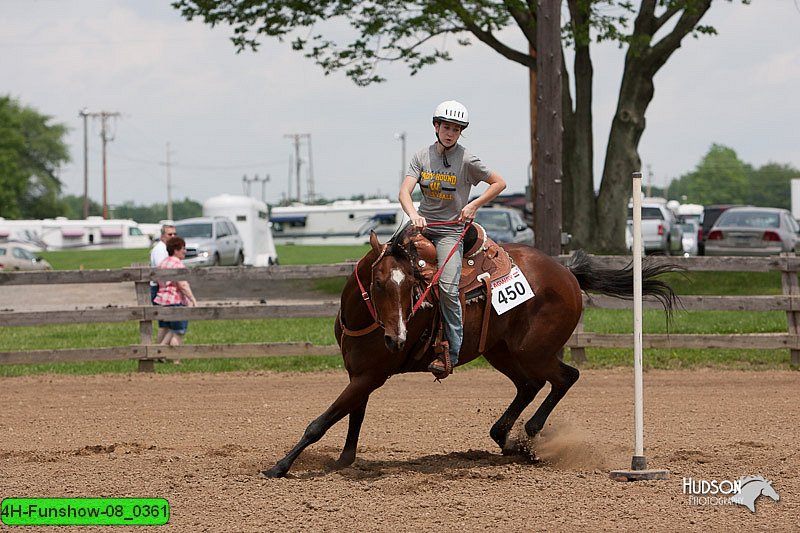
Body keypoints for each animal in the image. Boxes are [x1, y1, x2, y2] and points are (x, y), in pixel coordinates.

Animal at [260, 225, 676, 478]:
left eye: (411, 282)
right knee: (529, 385)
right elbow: (353, 416)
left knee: (564, 377)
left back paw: (530, 434)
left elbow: (321, 422)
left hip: (532, 350)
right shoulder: (359, 374)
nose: (396, 338)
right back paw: (507, 438)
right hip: (502, 351)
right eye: (378, 282)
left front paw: (279, 467)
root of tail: (568, 274)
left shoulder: (371, 375)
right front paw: (345, 461)